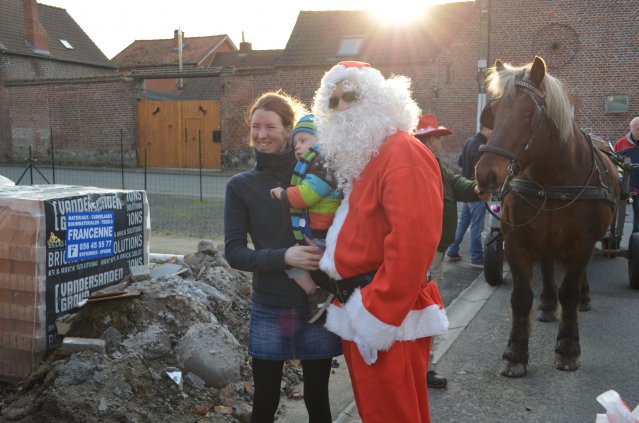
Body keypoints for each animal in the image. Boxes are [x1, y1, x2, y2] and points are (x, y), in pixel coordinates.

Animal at [475, 56, 620, 377]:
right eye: (492, 113)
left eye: (529, 112)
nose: (486, 174)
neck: (552, 180)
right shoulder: (517, 241)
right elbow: (521, 296)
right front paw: (515, 353)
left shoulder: (582, 244)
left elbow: (569, 292)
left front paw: (568, 348)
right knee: (547, 266)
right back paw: (546, 305)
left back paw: (583, 297)